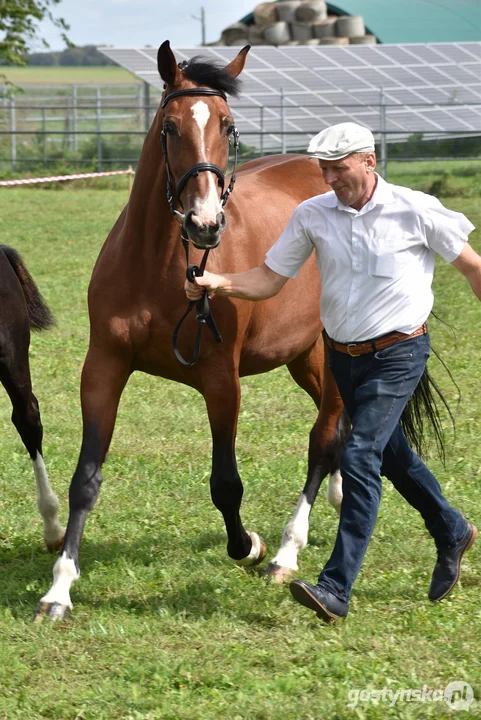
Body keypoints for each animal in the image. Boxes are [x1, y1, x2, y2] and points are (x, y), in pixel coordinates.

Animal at [35, 42, 346, 620]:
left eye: (228, 125)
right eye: (171, 126)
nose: (205, 224)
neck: (158, 266)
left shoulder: (222, 383)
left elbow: (226, 484)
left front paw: (249, 545)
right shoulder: (103, 369)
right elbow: (85, 479)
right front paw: (59, 588)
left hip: (333, 352)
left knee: (324, 436)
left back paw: (287, 551)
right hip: (304, 358)